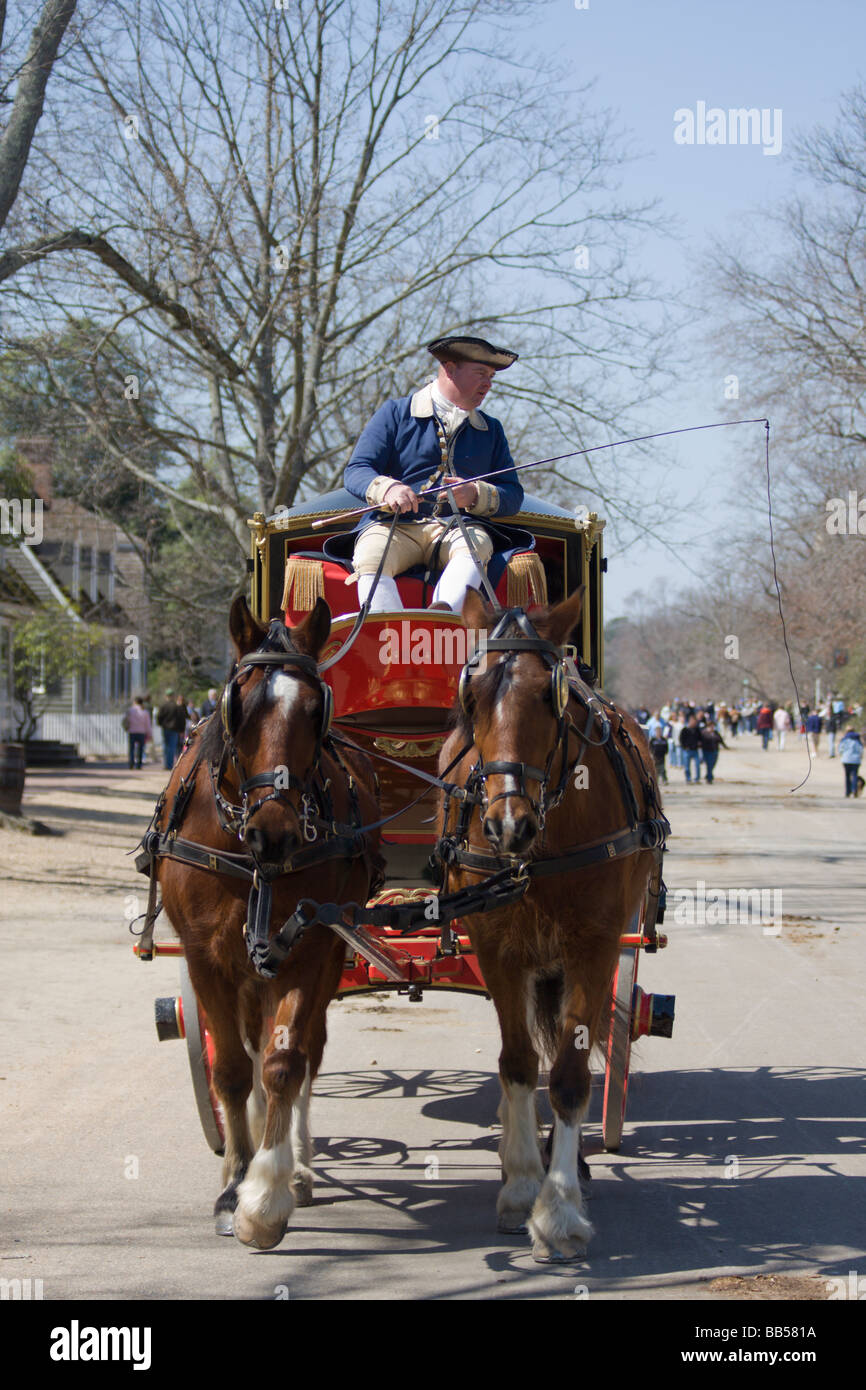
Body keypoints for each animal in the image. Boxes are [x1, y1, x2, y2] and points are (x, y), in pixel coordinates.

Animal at [146, 595, 383, 1249]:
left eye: (315, 710)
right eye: (238, 705)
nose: (272, 833)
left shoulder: (307, 949)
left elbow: (284, 1064)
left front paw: (267, 1197)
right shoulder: (204, 956)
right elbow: (230, 1070)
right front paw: (234, 1183)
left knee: (304, 1055)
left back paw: (296, 1167)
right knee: (246, 1052)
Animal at [436, 586, 667, 1261]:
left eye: (551, 695)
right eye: (471, 695)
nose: (507, 825)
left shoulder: (594, 945)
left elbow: (568, 1076)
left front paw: (559, 1208)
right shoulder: (495, 946)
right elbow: (516, 1063)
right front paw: (519, 1188)